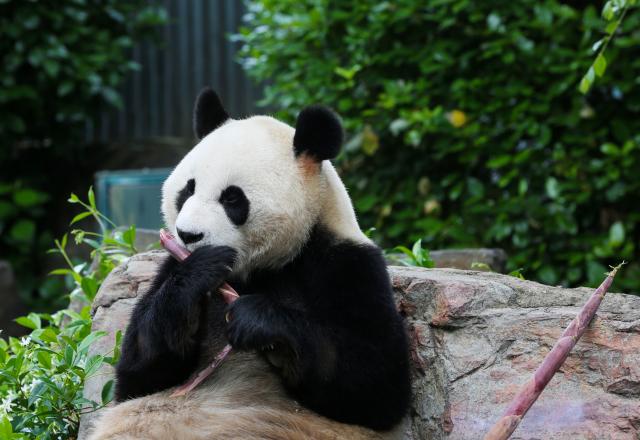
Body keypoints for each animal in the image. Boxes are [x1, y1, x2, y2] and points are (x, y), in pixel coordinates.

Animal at [89, 88, 411, 440]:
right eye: (188, 189)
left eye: (232, 198)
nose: (187, 234)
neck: (257, 269)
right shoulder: (170, 268)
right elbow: (139, 375)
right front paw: (200, 272)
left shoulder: (347, 264)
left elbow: (377, 382)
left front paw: (257, 319)